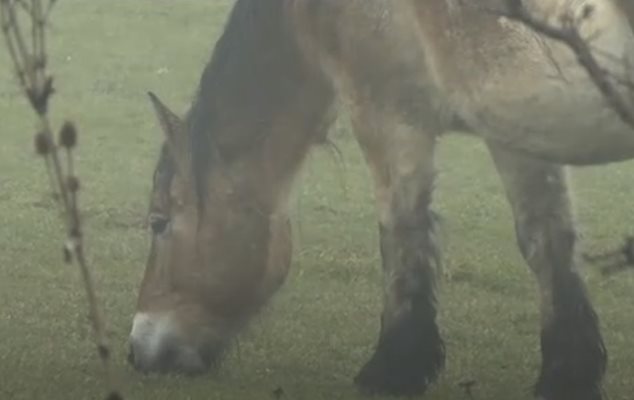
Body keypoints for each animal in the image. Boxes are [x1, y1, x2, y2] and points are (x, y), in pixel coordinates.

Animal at [127, 0, 632, 400]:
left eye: (158, 222)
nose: (137, 348)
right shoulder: (514, 125)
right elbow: (546, 241)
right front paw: (569, 374)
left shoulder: (388, 115)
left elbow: (402, 232)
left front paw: (394, 367)